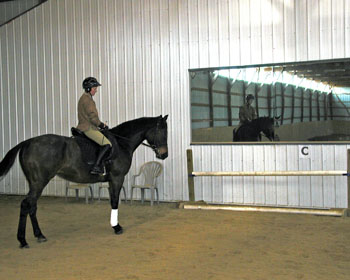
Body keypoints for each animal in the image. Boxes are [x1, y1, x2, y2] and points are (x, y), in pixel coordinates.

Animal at [0, 115, 168, 248]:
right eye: (162, 132)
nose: (164, 155)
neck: (121, 143)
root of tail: (27, 142)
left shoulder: (111, 180)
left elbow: (112, 200)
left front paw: (114, 225)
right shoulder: (117, 177)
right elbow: (115, 201)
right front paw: (117, 227)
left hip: (35, 183)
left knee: (32, 206)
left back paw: (39, 235)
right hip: (39, 182)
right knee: (26, 205)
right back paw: (23, 240)